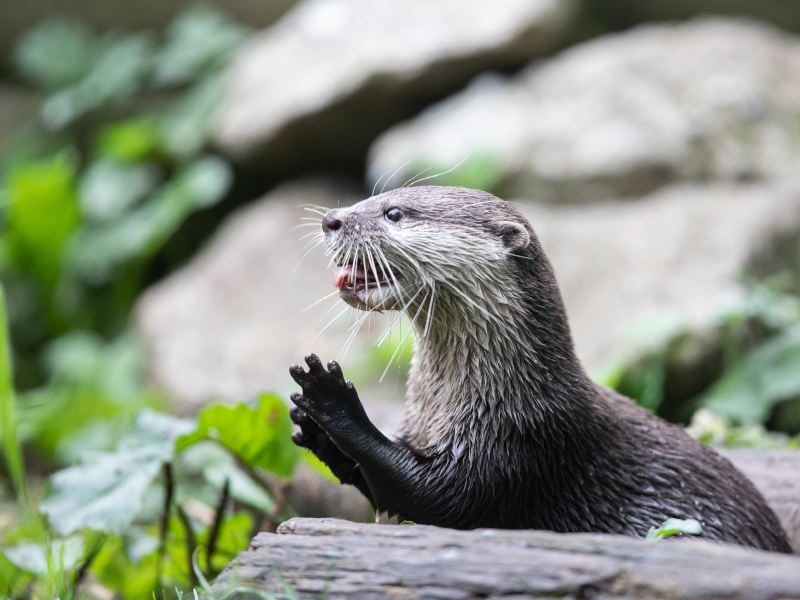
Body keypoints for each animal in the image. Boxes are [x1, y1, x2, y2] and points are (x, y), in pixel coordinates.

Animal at [288, 184, 792, 552]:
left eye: (393, 212)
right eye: (370, 199)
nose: (331, 219)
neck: (508, 386)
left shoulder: (522, 440)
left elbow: (438, 498)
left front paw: (333, 402)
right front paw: (314, 430)